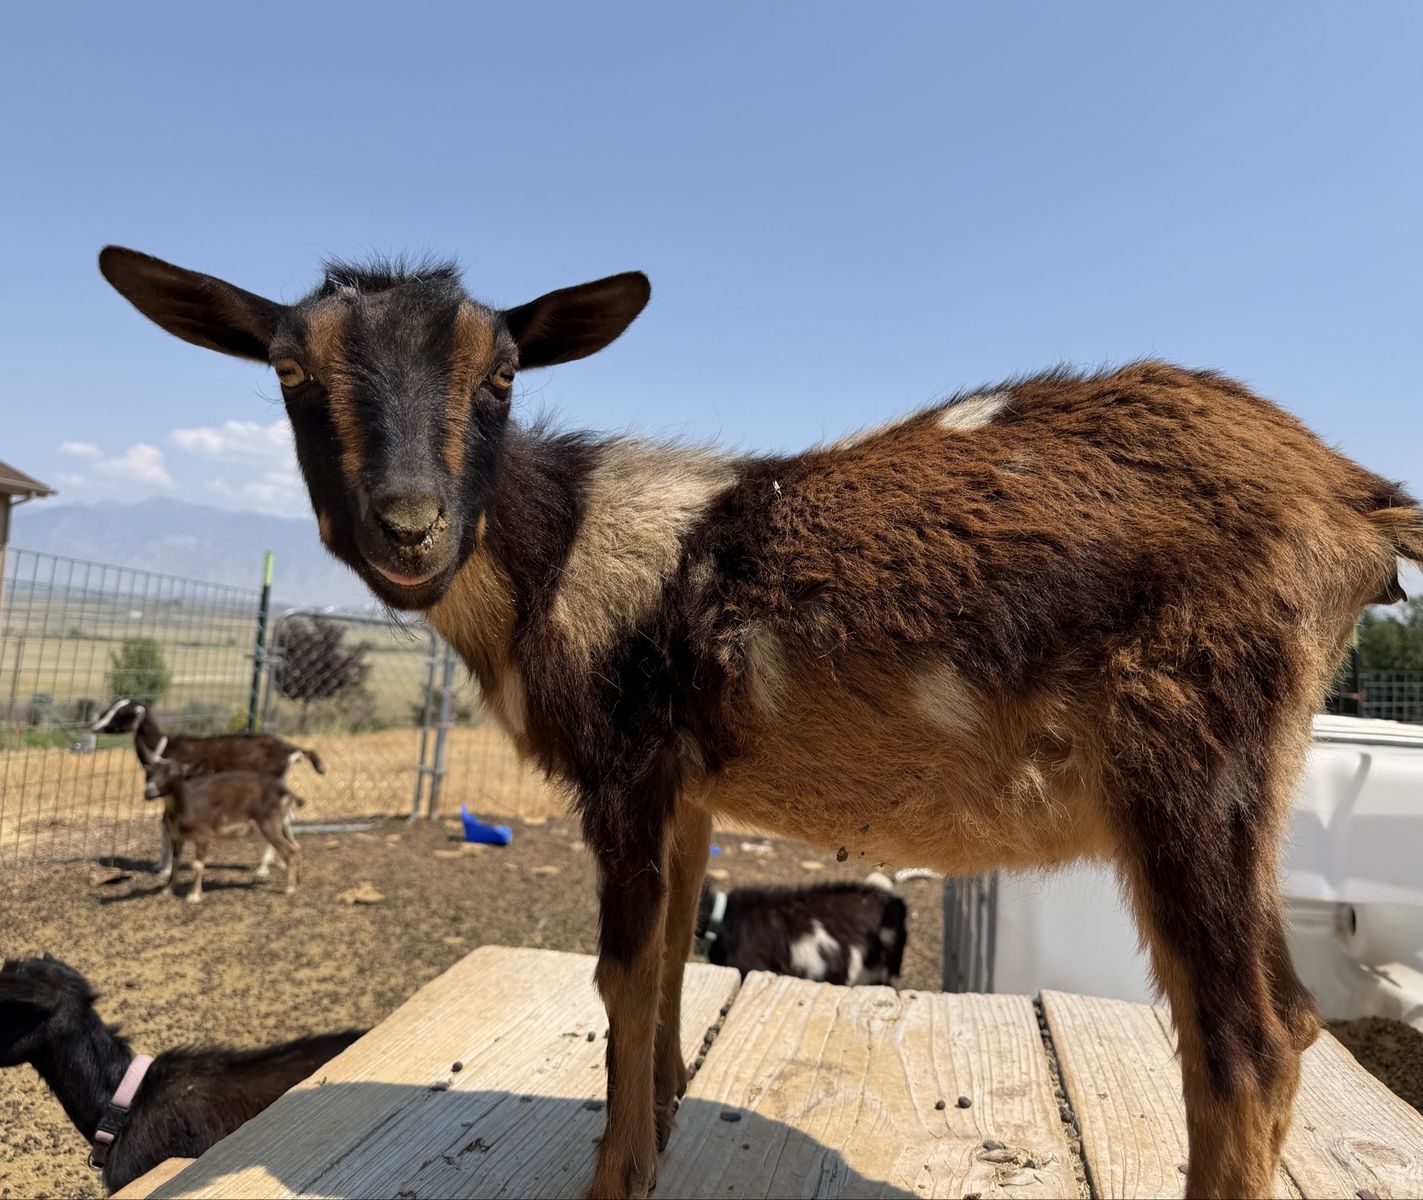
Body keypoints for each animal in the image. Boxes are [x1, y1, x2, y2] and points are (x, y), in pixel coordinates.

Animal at [91, 698, 320, 881]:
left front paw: (166, 870)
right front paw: (160, 865)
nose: (95, 725)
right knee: (286, 817)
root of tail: (291, 750)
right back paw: (285, 858)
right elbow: (164, 824)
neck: (163, 750)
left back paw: (264, 868)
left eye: (122, 713)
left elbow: (170, 825)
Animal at [142, 760, 302, 903]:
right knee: (295, 847)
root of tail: (284, 791)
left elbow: (197, 864)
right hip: (281, 822)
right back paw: (297, 881)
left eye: (173, 773)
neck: (186, 806)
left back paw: (290, 889)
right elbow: (176, 861)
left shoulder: (202, 835)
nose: (148, 793)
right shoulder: (178, 837)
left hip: (269, 822)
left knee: (289, 850)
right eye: (149, 773)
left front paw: (194, 896)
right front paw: (166, 891)